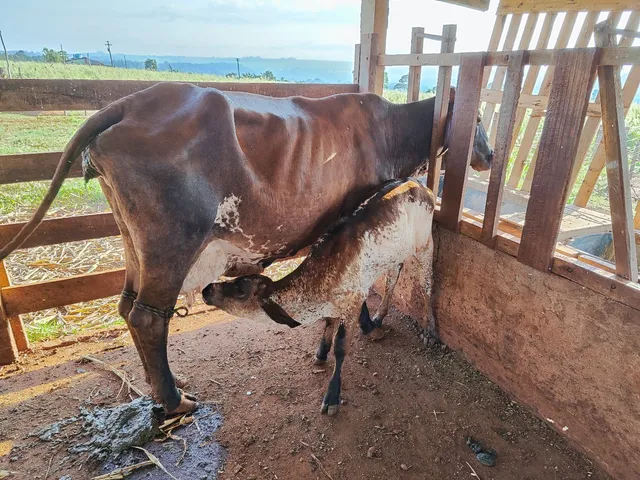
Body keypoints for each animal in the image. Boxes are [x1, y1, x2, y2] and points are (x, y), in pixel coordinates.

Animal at [202, 178, 436, 416]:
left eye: (241, 291)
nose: (207, 289)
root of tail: (419, 185)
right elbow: (328, 324)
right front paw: (321, 352)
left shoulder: (353, 302)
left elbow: (341, 347)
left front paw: (332, 396)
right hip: (395, 254)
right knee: (393, 276)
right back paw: (379, 317)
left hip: (426, 244)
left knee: (427, 284)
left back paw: (429, 330)